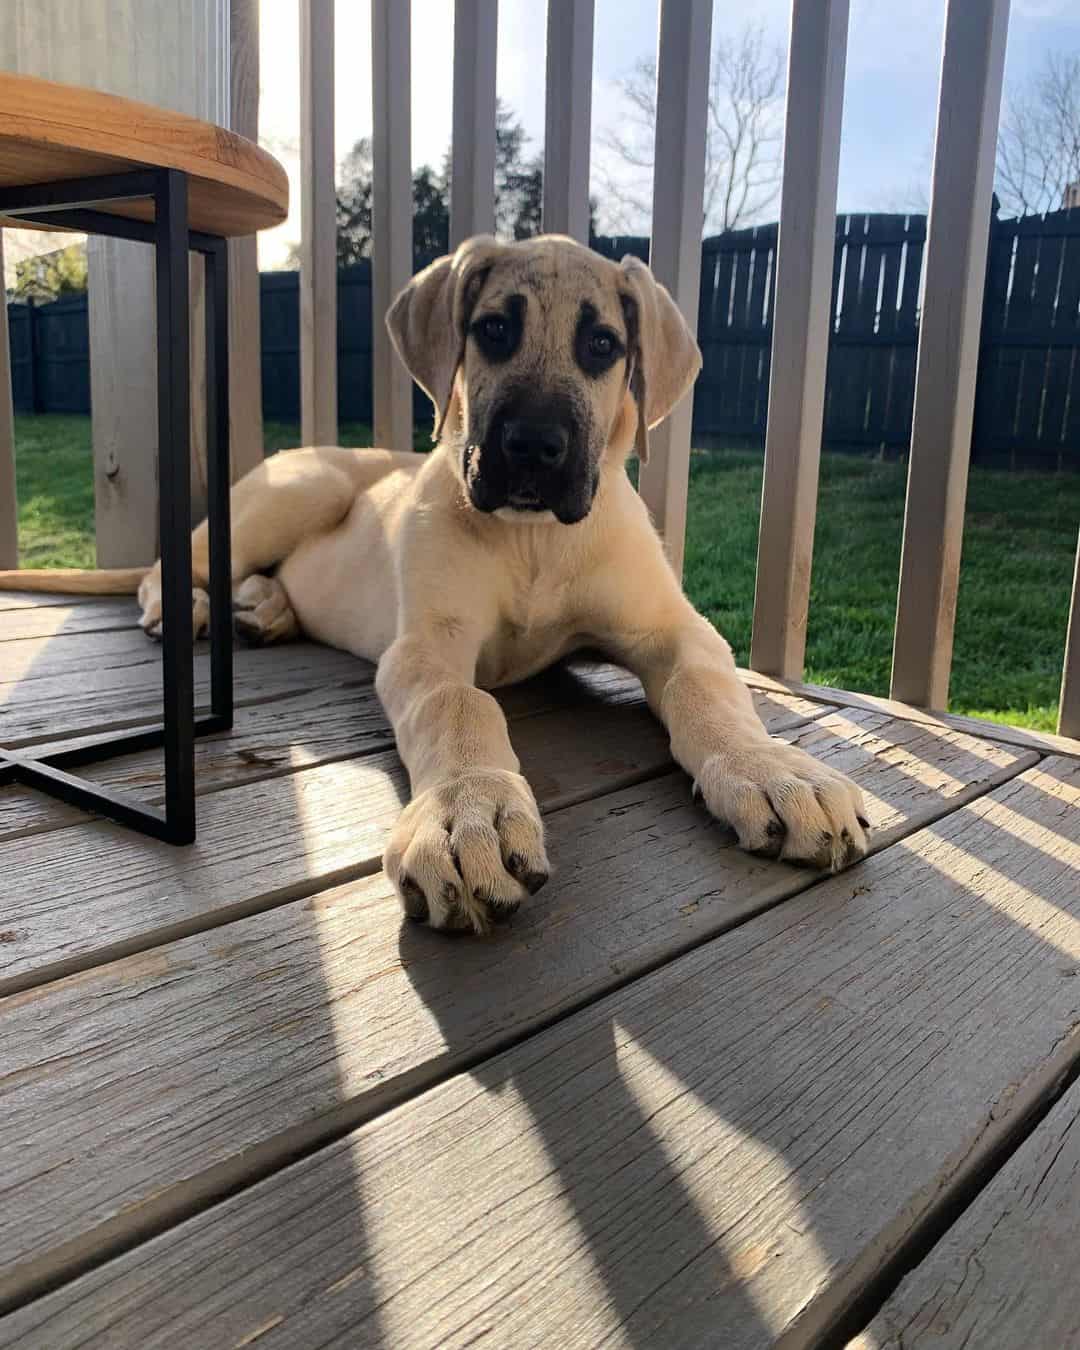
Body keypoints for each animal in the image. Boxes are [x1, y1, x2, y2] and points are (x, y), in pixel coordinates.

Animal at [2, 234, 869, 928]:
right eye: (493, 330)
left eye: (601, 344)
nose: (532, 447)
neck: (531, 542)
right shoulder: (429, 645)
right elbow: (459, 705)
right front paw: (467, 814)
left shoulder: (673, 631)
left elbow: (708, 692)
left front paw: (775, 771)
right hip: (298, 491)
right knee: (171, 562)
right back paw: (193, 606)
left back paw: (262, 607)